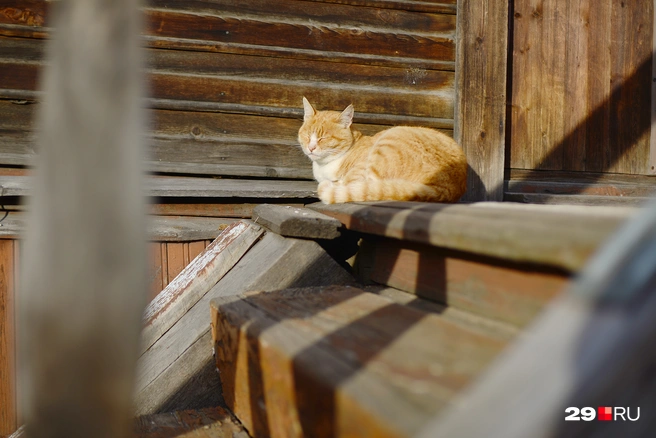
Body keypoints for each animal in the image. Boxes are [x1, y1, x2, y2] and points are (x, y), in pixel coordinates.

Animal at [298, 97, 466, 204]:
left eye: (323, 138)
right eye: (306, 135)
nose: (311, 147)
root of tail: (446, 189)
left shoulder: (359, 170)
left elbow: (350, 182)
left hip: (389, 140)